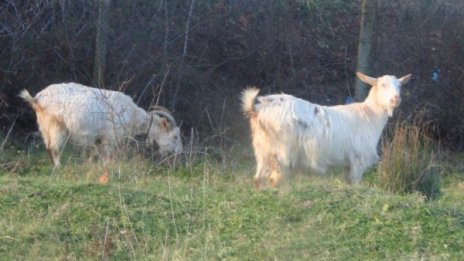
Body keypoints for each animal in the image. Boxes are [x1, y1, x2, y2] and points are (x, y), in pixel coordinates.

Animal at [20, 82, 183, 166]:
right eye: (175, 136)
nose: (180, 153)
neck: (132, 114)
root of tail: (37, 98)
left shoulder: (98, 139)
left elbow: (94, 154)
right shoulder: (111, 137)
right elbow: (107, 156)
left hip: (44, 126)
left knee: (48, 147)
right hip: (56, 125)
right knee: (53, 147)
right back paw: (58, 167)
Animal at [241, 71, 412, 187]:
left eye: (399, 86)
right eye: (383, 85)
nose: (396, 98)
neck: (369, 115)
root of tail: (256, 108)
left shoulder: (348, 164)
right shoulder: (358, 160)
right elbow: (356, 183)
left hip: (263, 150)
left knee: (258, 178)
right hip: (282, 152)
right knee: (274, 179)